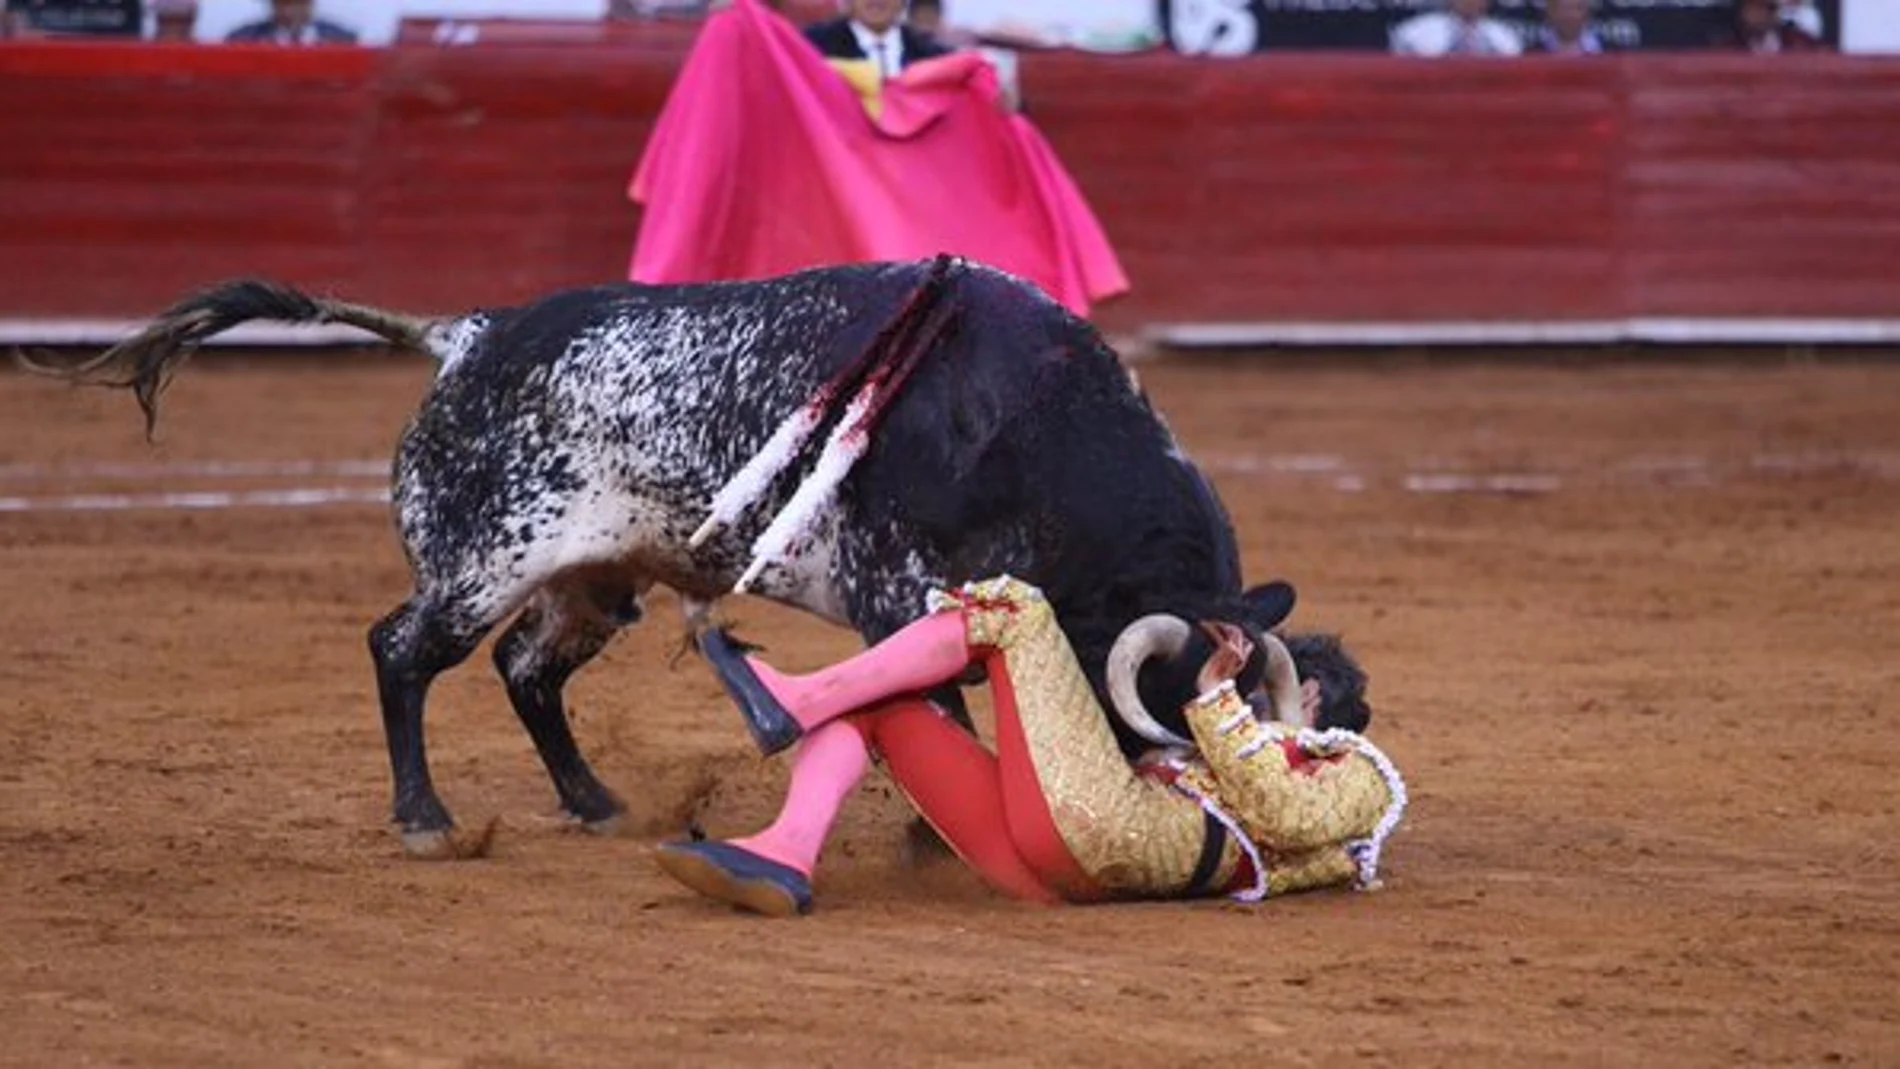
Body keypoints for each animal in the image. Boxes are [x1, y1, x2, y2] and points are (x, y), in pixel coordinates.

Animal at [33, 256, 1368, 862]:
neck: (1026, 425)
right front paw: (948, 828)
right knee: (403, 650)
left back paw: (593, 801)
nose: (1290, 838)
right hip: (481, 563)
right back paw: (424, 817)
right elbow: (935, 698)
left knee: (527, 673)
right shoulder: (895, 592)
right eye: (1181, 715)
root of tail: (467, 336)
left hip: (597, 581)